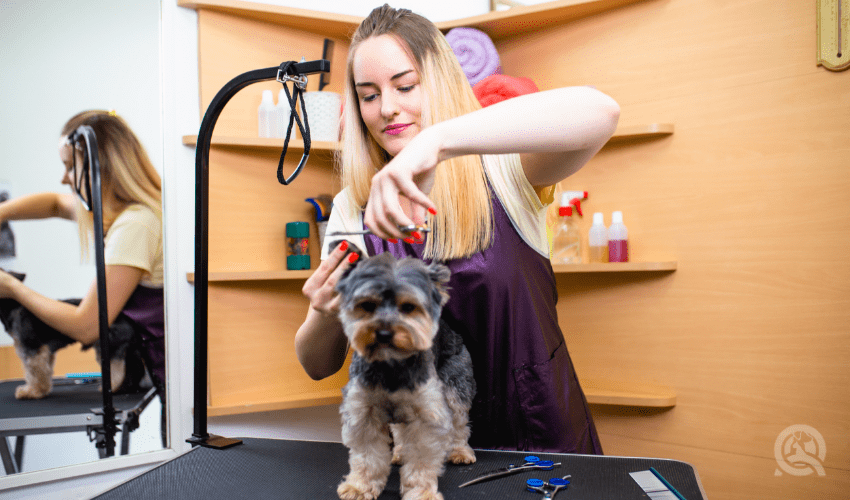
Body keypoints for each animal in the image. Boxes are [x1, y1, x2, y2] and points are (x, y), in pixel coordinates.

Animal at [0, 270, 147, 398]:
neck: (12, 306)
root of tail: (126, 317)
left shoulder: (32, 350)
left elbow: (33, 373)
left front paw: (33, 391)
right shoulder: (45, 352)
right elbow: (45, 371)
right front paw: (42, 390)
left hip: (108, 345)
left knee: (117, 370)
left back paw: (114, 388)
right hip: (126, 347)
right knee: (134, 368)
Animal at [332, 249, 476, 500]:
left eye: (408, 307)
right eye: (367, 305)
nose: (383, 333)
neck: (391, 363)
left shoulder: (426, 414)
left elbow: (420, 457)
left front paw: (421, 492)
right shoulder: (363, 411)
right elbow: (367, 456)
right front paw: (360, 486)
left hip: (456, 386)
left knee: (459, 422)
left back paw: (459, 451)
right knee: (399, 430)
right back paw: (399, 453)